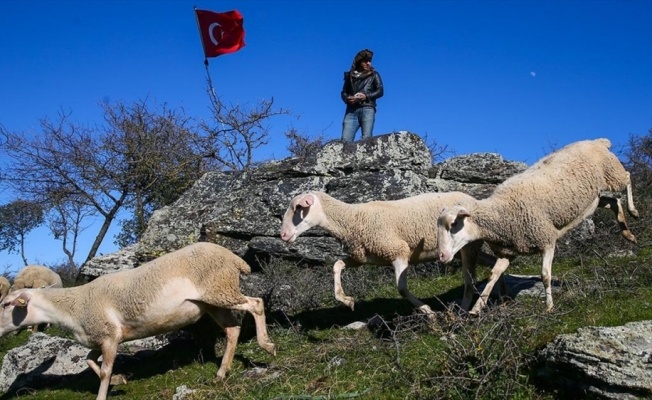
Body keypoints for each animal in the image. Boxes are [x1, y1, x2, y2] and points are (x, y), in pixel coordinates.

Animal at [0, 241, 276, 400]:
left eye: (5, 304)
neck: (74, 306)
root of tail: (234, 259)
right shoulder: (101, 337)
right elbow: (89, 360)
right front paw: (120, 380)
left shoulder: (109, 337)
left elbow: (104, 370)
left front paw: (105, 391)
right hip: (213, 300)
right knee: (232, 330)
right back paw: (221, 373)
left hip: (220, 290)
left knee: (256, 304)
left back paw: (267, 345)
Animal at [278, 191, 502, 316]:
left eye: (297, 208)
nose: (283, 235)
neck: (353, 219)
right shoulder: (362, 257)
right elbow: (337, 266)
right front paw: (346, 300)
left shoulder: (399, 252)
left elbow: (401, 289)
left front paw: (427, 311)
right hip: (463, 248)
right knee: (490, 262)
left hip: (466, 246)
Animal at [438, 138, 636, 316]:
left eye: (454, 224)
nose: (442, 256)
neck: (500, 214)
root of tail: (598, 141)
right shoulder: (508, 251)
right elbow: (494, 275)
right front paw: (477, 308)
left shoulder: (546, 240)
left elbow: (545, 275)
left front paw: (549, 307)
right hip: (595, 196)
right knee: (614, 202)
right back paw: (628, 233)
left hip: (612, 173)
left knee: (627, 177)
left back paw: (634, 211)